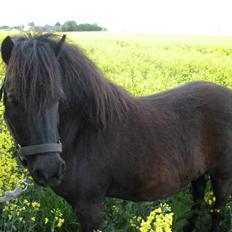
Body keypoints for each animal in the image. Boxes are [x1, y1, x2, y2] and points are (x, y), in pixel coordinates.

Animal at [0, 33, 232, 231]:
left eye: (59, 97)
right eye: (12, 98)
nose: (50, 170)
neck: (81, 132)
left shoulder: (89, 205)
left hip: (222, 176)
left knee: (217, 211)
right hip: (197, 173)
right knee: (197, 204)